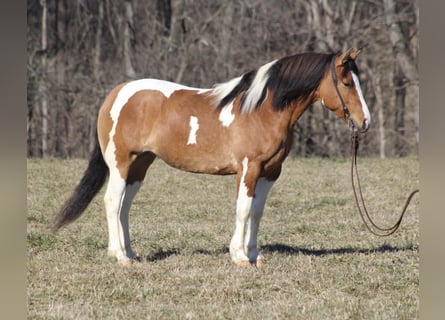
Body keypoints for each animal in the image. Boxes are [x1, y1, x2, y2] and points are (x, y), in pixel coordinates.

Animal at [51, 48, 372, 266]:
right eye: (347, 83)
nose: (365, 121)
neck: (261, 110)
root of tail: (116, 93)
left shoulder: (270, 172)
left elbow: (257, 212)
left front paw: (255, 255)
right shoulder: (249, 169)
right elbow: (243, 209)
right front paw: (239, 256)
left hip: (140, 165)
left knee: (124, 206)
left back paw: (130, 252)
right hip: (121, 162)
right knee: (111, 201)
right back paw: (120, 256)